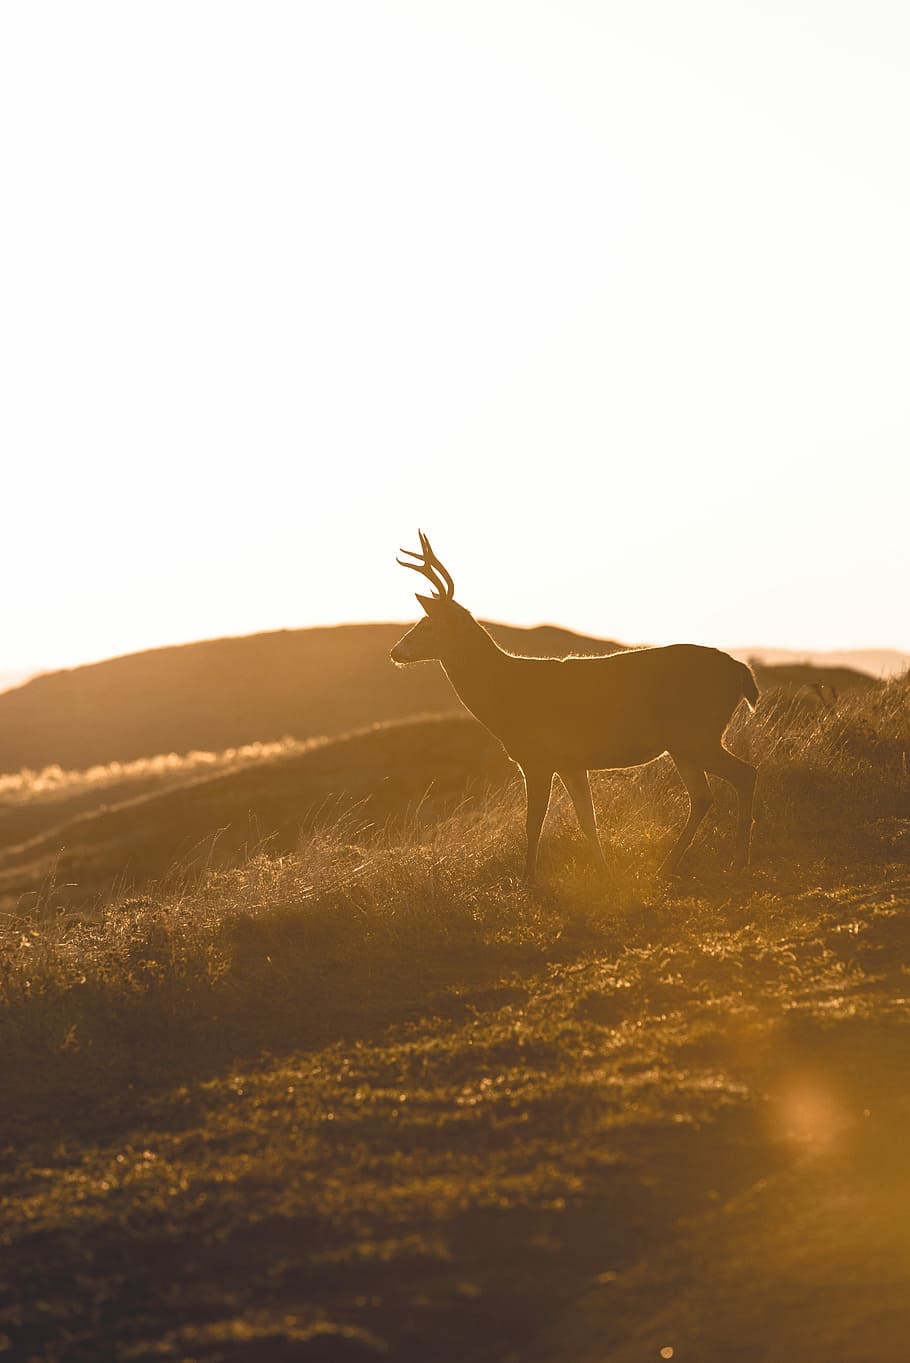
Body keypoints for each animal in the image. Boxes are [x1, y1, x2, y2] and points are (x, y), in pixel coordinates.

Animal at [390, 531, 758, 881]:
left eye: (427, 624)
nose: (395, 652)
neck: (505, 692)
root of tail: (741, 671)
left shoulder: (537, 758)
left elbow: (533, 823)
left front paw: (528, 879)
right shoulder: (570, 763)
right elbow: (588, 821)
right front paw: (605, 875)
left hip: (697, 733)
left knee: (745, 774)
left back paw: (739, 861)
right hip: (684, 744)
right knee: (703, 796)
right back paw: (668, 866)